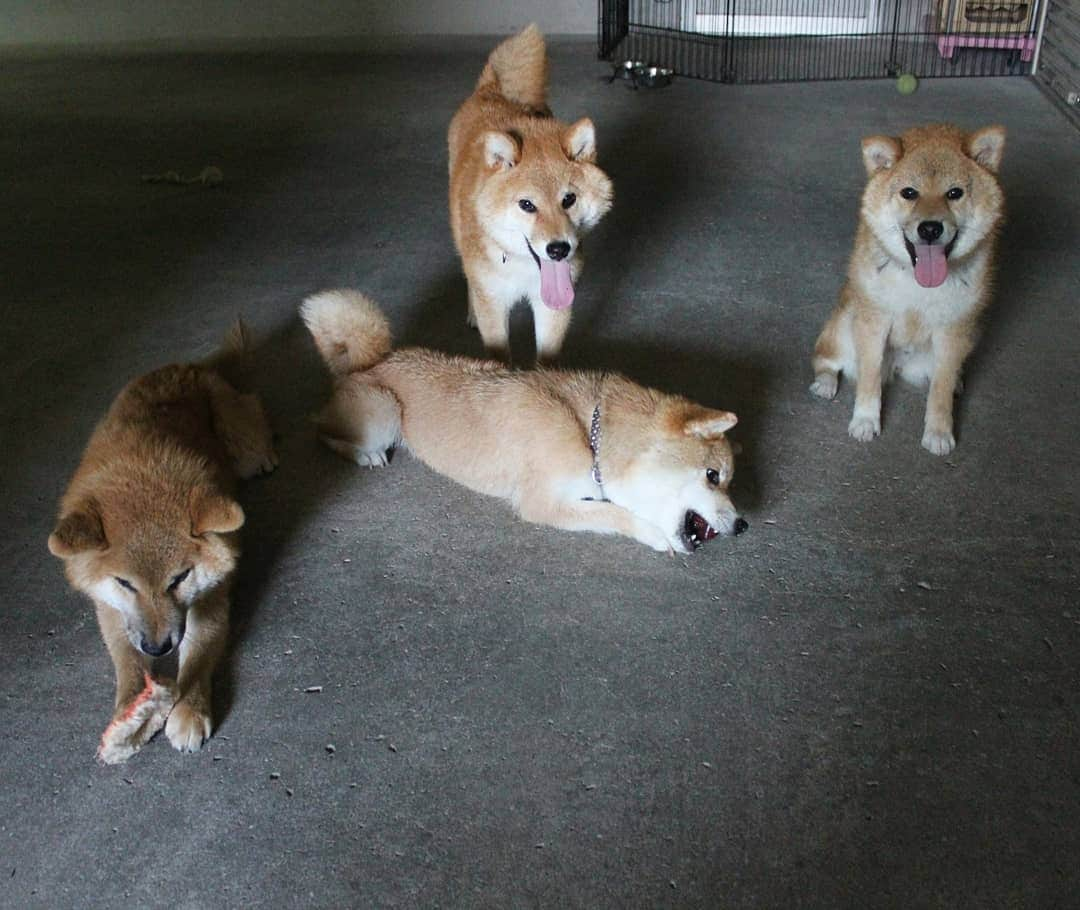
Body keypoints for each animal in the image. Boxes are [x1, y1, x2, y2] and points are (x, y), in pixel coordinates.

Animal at [48, 330, 276, 764]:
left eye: (179, 578)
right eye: (124, 583)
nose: (157, 647)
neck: (140, 474)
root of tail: (192, 365)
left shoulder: (210, 598)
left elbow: (199, 653)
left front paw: (189, 709)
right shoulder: (111, 608)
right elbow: (126, 661)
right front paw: (129, 713)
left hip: (242, 440)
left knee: (254, 418)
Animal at [300, 289, 747, 557]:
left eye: (726, 480)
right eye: (714, 476)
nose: (743, 525)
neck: (591, 435)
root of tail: (372, 362)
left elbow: (611, 507)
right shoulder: (541, 503)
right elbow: (614, 516)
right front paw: (652, 534)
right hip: (385, 413)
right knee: (319, 427)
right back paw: (365, 455)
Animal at [447, 24, 613, 362]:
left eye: (569, 199)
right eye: (526, 205)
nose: (559, 250)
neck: (522, 267)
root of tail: (491, 90)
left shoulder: (554, 305)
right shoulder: (494, 303)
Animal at [812, 124, 1006, 455]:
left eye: (954, 193)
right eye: (909, 193)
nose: (930, 228)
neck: (920, 287)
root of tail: (900, 367)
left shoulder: (953, 332)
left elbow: (940, 390)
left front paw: (939, 432)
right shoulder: (874, 322)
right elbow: (869, 378)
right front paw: (865, 421)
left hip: (973, 333)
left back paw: (957, 382)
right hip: (844, 324)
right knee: (826, 359)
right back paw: (825, 383)